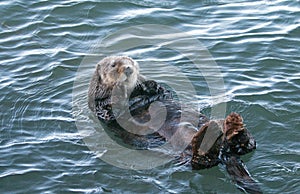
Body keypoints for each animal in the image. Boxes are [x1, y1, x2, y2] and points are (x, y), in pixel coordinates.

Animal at [88, 55, 262, 193]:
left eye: (130, 61)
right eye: (113, 65)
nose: (128, 69)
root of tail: (224, 153)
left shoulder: (161, 93)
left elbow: (162, 91)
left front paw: (148, 85)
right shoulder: (100, 107)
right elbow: (111, 109)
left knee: (249, 145)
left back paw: (235, 128)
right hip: (185, 156)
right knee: (201, 162)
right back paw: (211, 137)